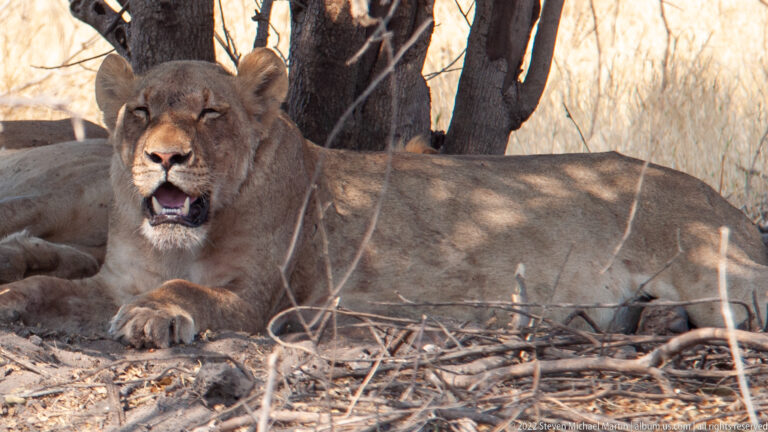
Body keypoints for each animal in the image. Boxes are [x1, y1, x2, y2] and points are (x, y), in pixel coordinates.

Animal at [0, 48, 766, 348]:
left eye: (210, 113)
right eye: (141, 111)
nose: (165, 157)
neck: (177, 243)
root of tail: (718, 200)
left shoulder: (264, 301)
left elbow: (187, 294)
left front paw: (152, 317)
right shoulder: (113, 279)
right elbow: (47, 289)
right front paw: (11, 299)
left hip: (715, 269)